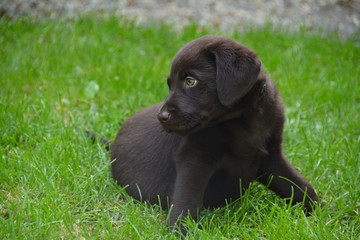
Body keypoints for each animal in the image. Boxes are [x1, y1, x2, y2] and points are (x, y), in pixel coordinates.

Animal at [111, 35, 320, 232]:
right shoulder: (194, 158)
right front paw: (180, 231)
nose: (161, 117)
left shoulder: (272, 156)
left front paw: (321, 212)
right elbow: (187, 200)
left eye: (190, 81)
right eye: (170, 85)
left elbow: (298, 186)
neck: (244, 118)